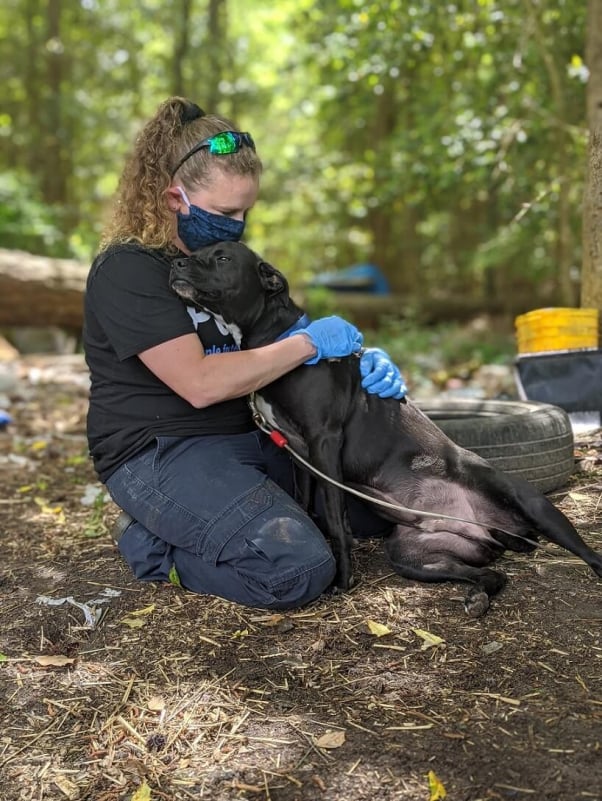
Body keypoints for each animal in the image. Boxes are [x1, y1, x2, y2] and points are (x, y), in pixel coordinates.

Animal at [169, 241, 600, 616]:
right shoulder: (294, 448)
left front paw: (343, 581)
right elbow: (306, 505)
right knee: (491, 575)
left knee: (587, 553)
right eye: (197, 252)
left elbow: (334, 518)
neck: (275, 340)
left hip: (532, 504)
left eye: (222, 257)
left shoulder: (324, 440)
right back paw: (477, 597)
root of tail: (490, 532)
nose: (176, 262)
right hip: (413, 556)